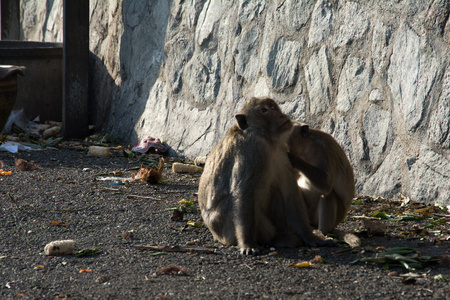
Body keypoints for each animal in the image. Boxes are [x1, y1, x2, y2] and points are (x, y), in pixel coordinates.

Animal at [199, 97, 332, 254]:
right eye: (264, 111)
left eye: (272, 106)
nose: (281, 115)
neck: (267, 141)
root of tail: (215, 234)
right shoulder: (251, 152)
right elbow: (243, 192)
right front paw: (247, 244)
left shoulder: (282, 152)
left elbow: (289, 191)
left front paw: (309, 236)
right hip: (224, 229)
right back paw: (272, 240)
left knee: (276, 191)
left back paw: (282, 237)